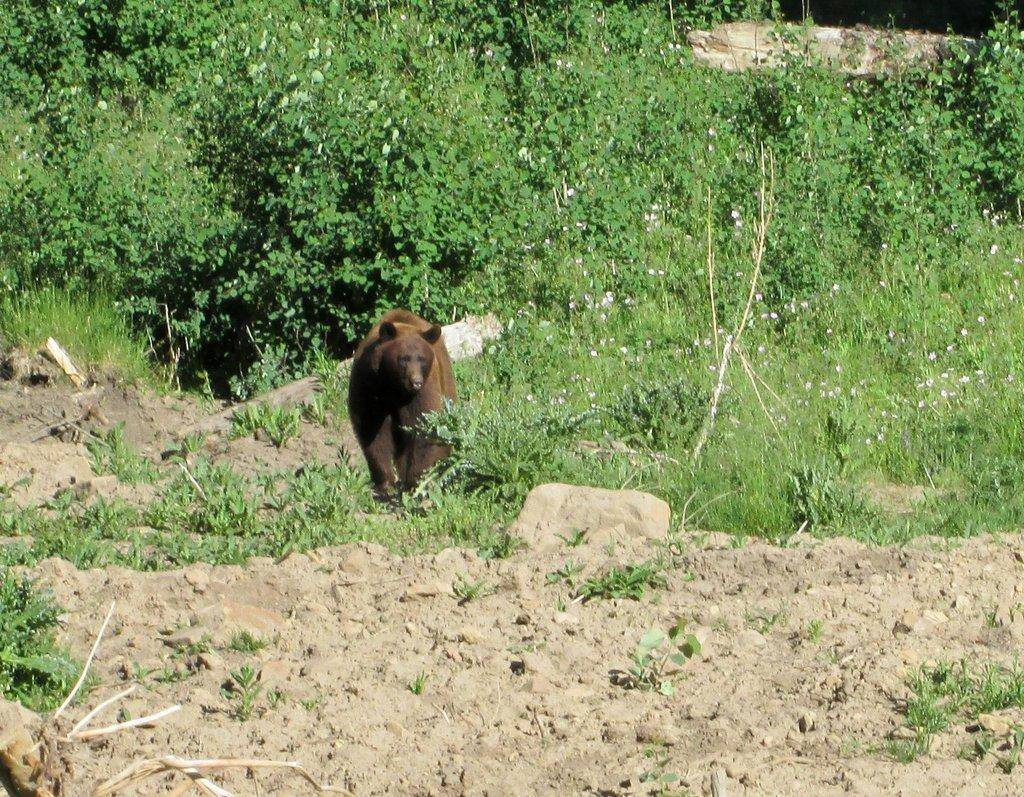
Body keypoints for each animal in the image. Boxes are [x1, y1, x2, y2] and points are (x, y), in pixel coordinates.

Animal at [348, 307, 456, 493]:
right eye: (404, 358)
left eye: (422, 358)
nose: (416, 382)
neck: (394, 385)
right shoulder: (368, 384)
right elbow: (371, 427)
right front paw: (385, 482)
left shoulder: (423, 391)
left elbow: (423, 424)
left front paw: (415, 478)